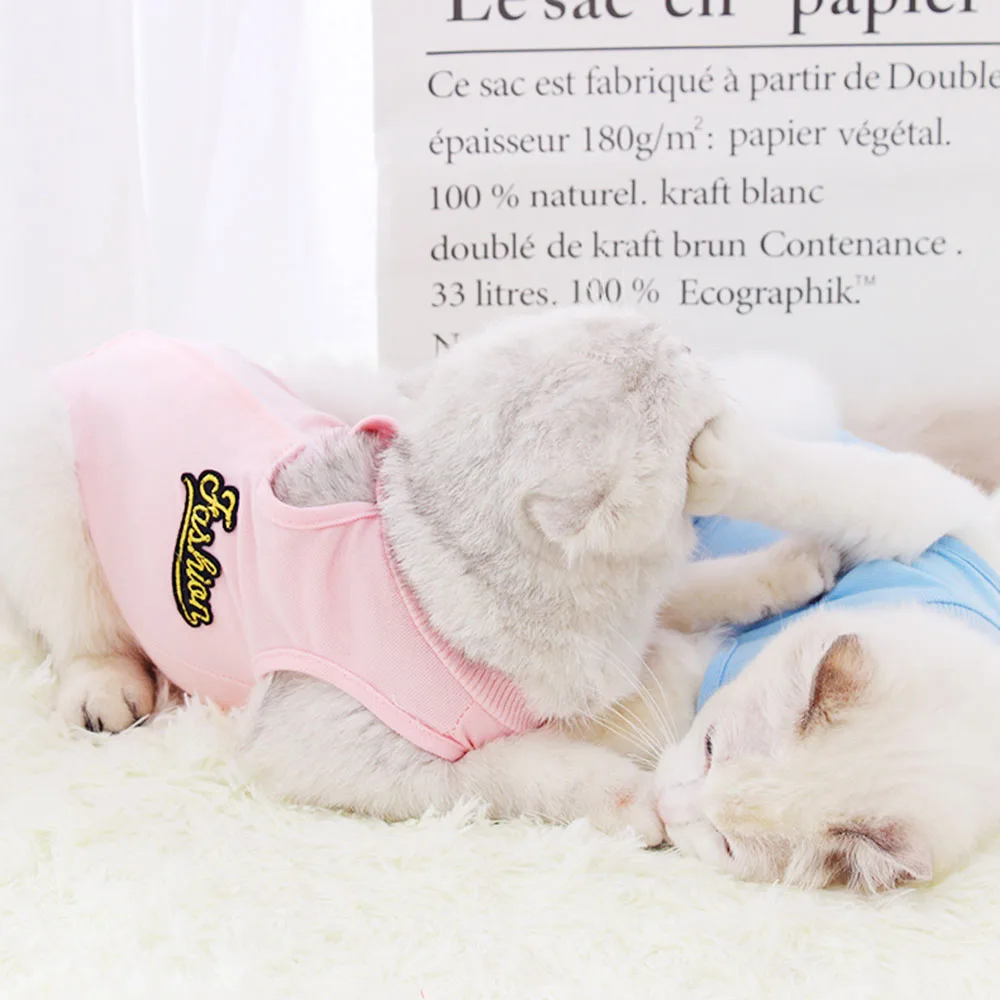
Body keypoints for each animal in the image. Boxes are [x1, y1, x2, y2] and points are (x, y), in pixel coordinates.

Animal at [0, 307, 988, 851]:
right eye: (660, 377)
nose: (682, 337)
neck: (419, 572)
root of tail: (112, 345)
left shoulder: (642, 614)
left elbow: (697, 590)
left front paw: (790, 567)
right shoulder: (320, 744)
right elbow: (496, 770)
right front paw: (621, 796)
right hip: (47, 499)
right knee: (82, 630)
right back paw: (106, 687)